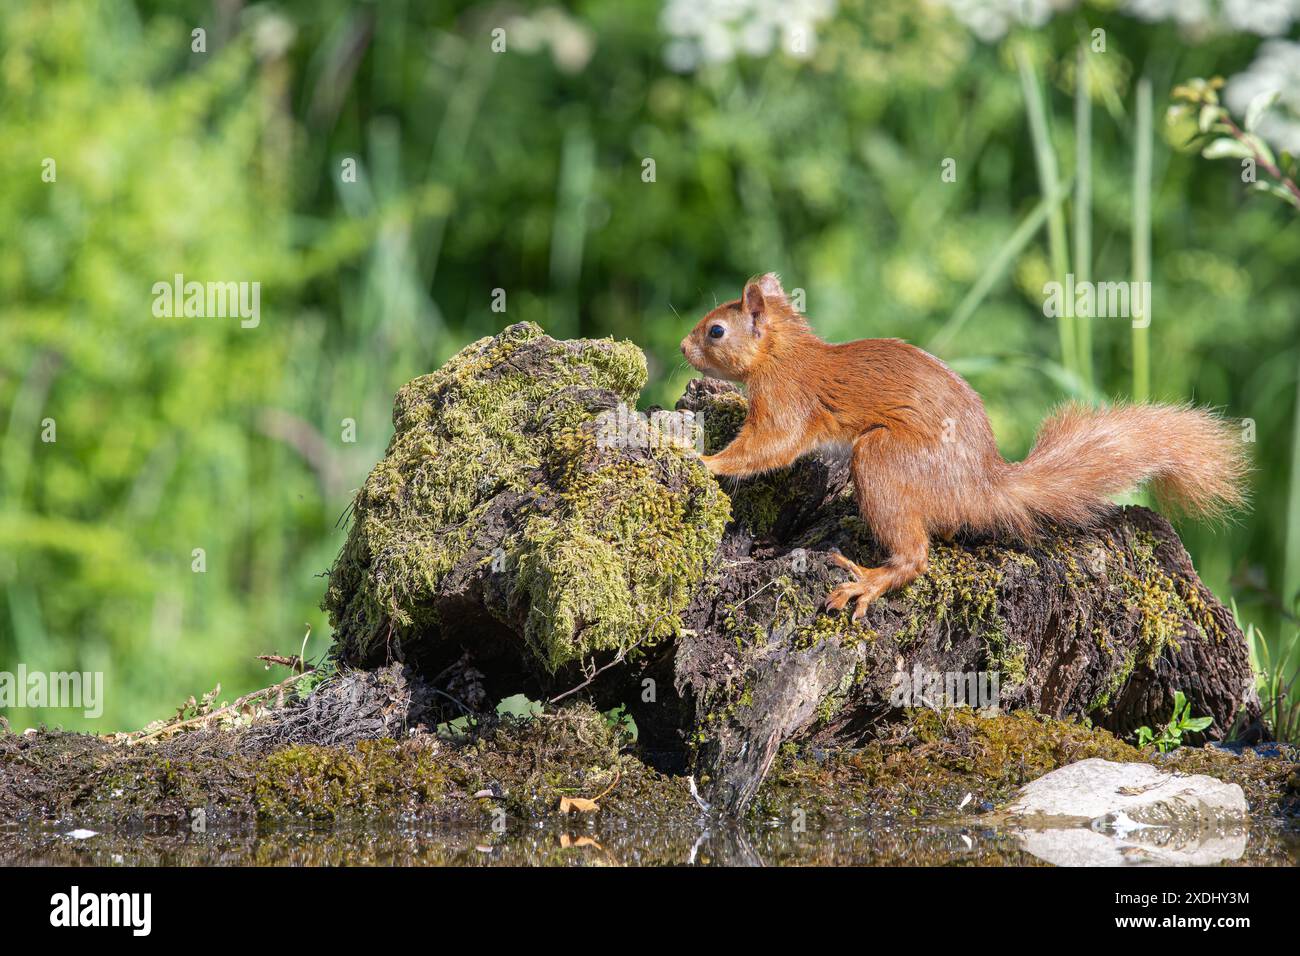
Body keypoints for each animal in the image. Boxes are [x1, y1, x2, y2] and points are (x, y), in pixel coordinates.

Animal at [681, 274, 1248, 621]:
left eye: (716, 330)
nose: (683, 347)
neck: (784, 352)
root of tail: (980, 487)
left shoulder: (787, 399)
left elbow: (768, 448)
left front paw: (704, 460)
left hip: (883, 459)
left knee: (916, 558)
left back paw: (868, 579)